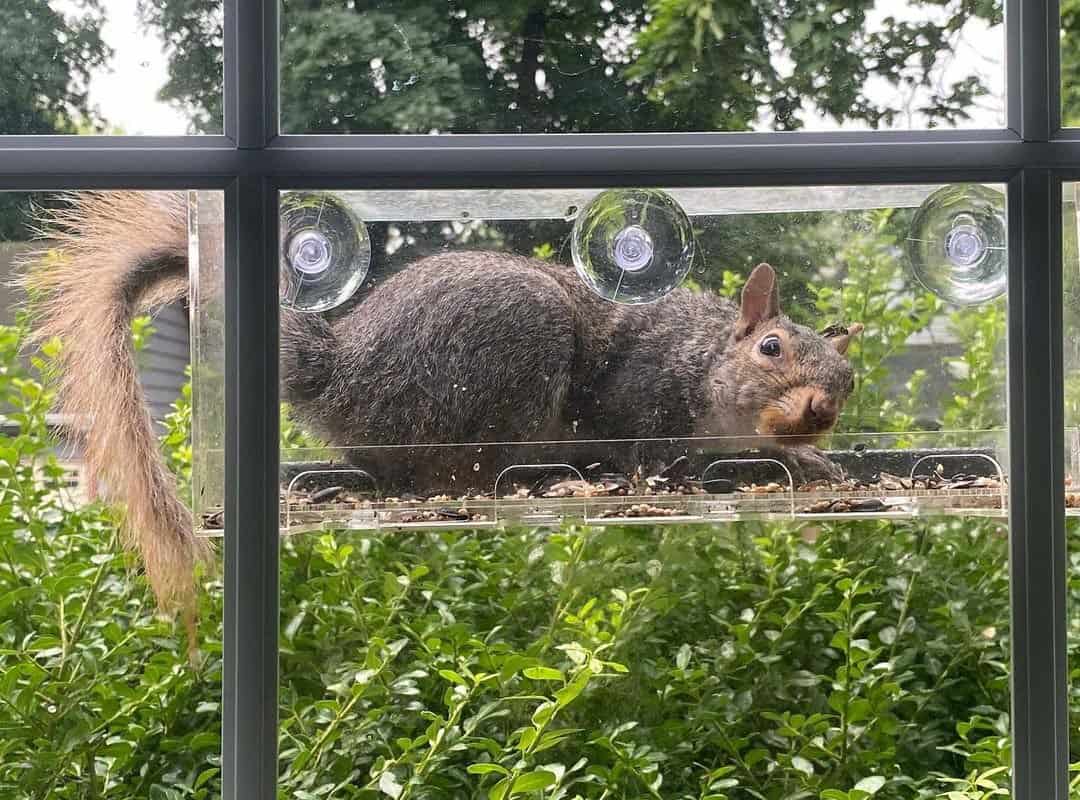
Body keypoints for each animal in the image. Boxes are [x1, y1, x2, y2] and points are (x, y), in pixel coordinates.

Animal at [16, 190, 864, 608]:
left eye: (848, 380)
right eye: (770, 348)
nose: (818, 413)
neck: (706, 366)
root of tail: (346, 369)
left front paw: (822, 472)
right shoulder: (642, 393)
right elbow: (644, 449)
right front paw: (654, 480)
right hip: (508, 359)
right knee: (441, 474)